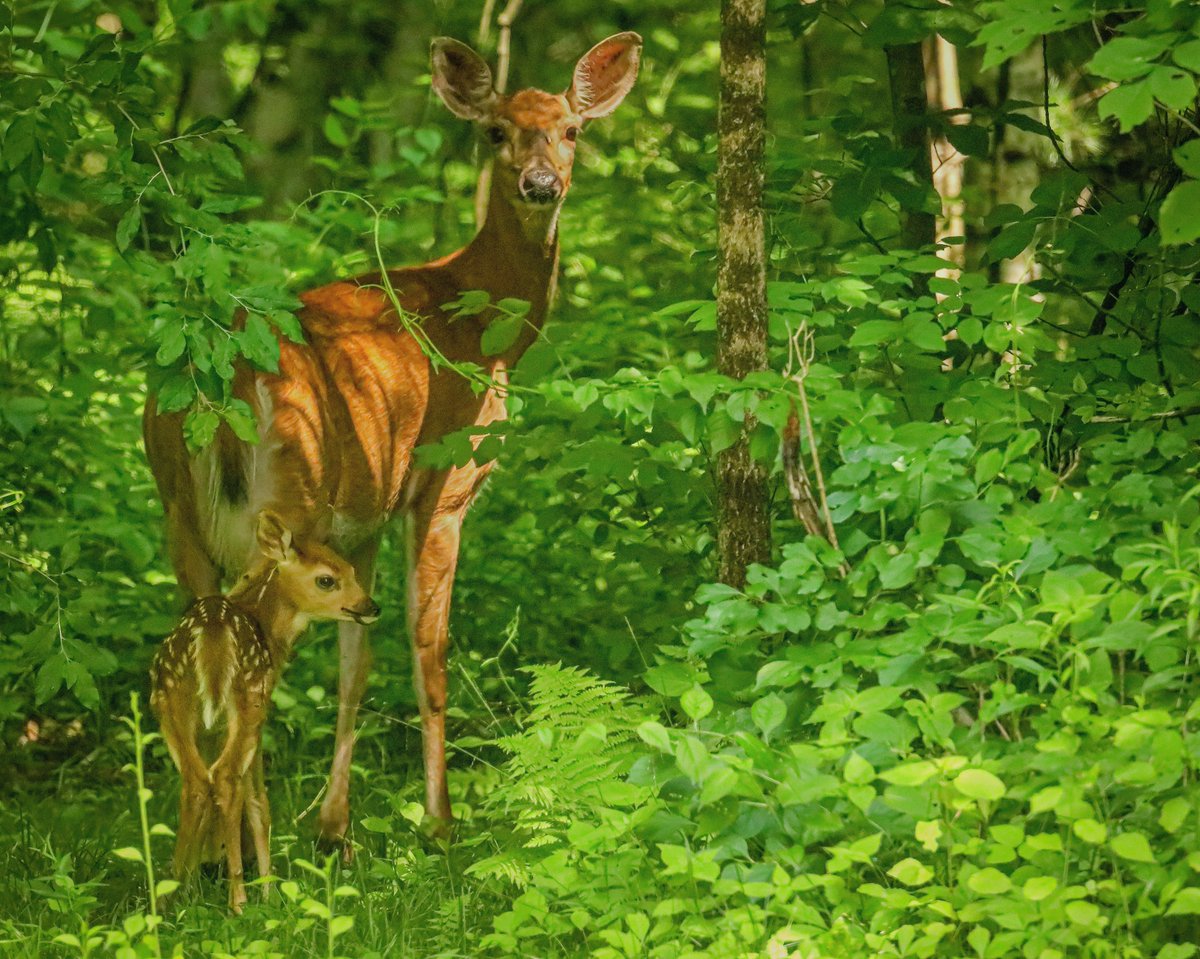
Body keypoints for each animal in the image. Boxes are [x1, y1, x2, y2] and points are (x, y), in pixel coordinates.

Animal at [143, 31, 641, 850]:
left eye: (572, 129)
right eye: (494, 131)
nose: (540, 184)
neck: (483, 324)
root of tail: (223, 379)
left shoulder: (363, 515)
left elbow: (357, 660)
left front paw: (335, 826)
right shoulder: (443, 484)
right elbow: (427, 646)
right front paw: (439, 823)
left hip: (178, 510)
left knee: (202, 639)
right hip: (291, 492)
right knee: (255, 656)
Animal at [150, 510, 381, 911]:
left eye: (352, 570)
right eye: (327, 580)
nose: (370, 606)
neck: (269, 630)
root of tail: (213, 636)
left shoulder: (209, 729)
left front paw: (193, 884)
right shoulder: (261, 707)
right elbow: (258, 802)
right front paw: (269, 890)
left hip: (171, 701)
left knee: (195, 782)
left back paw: (168, 894)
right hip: (248, 703)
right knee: (225, 779)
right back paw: (238, 899)